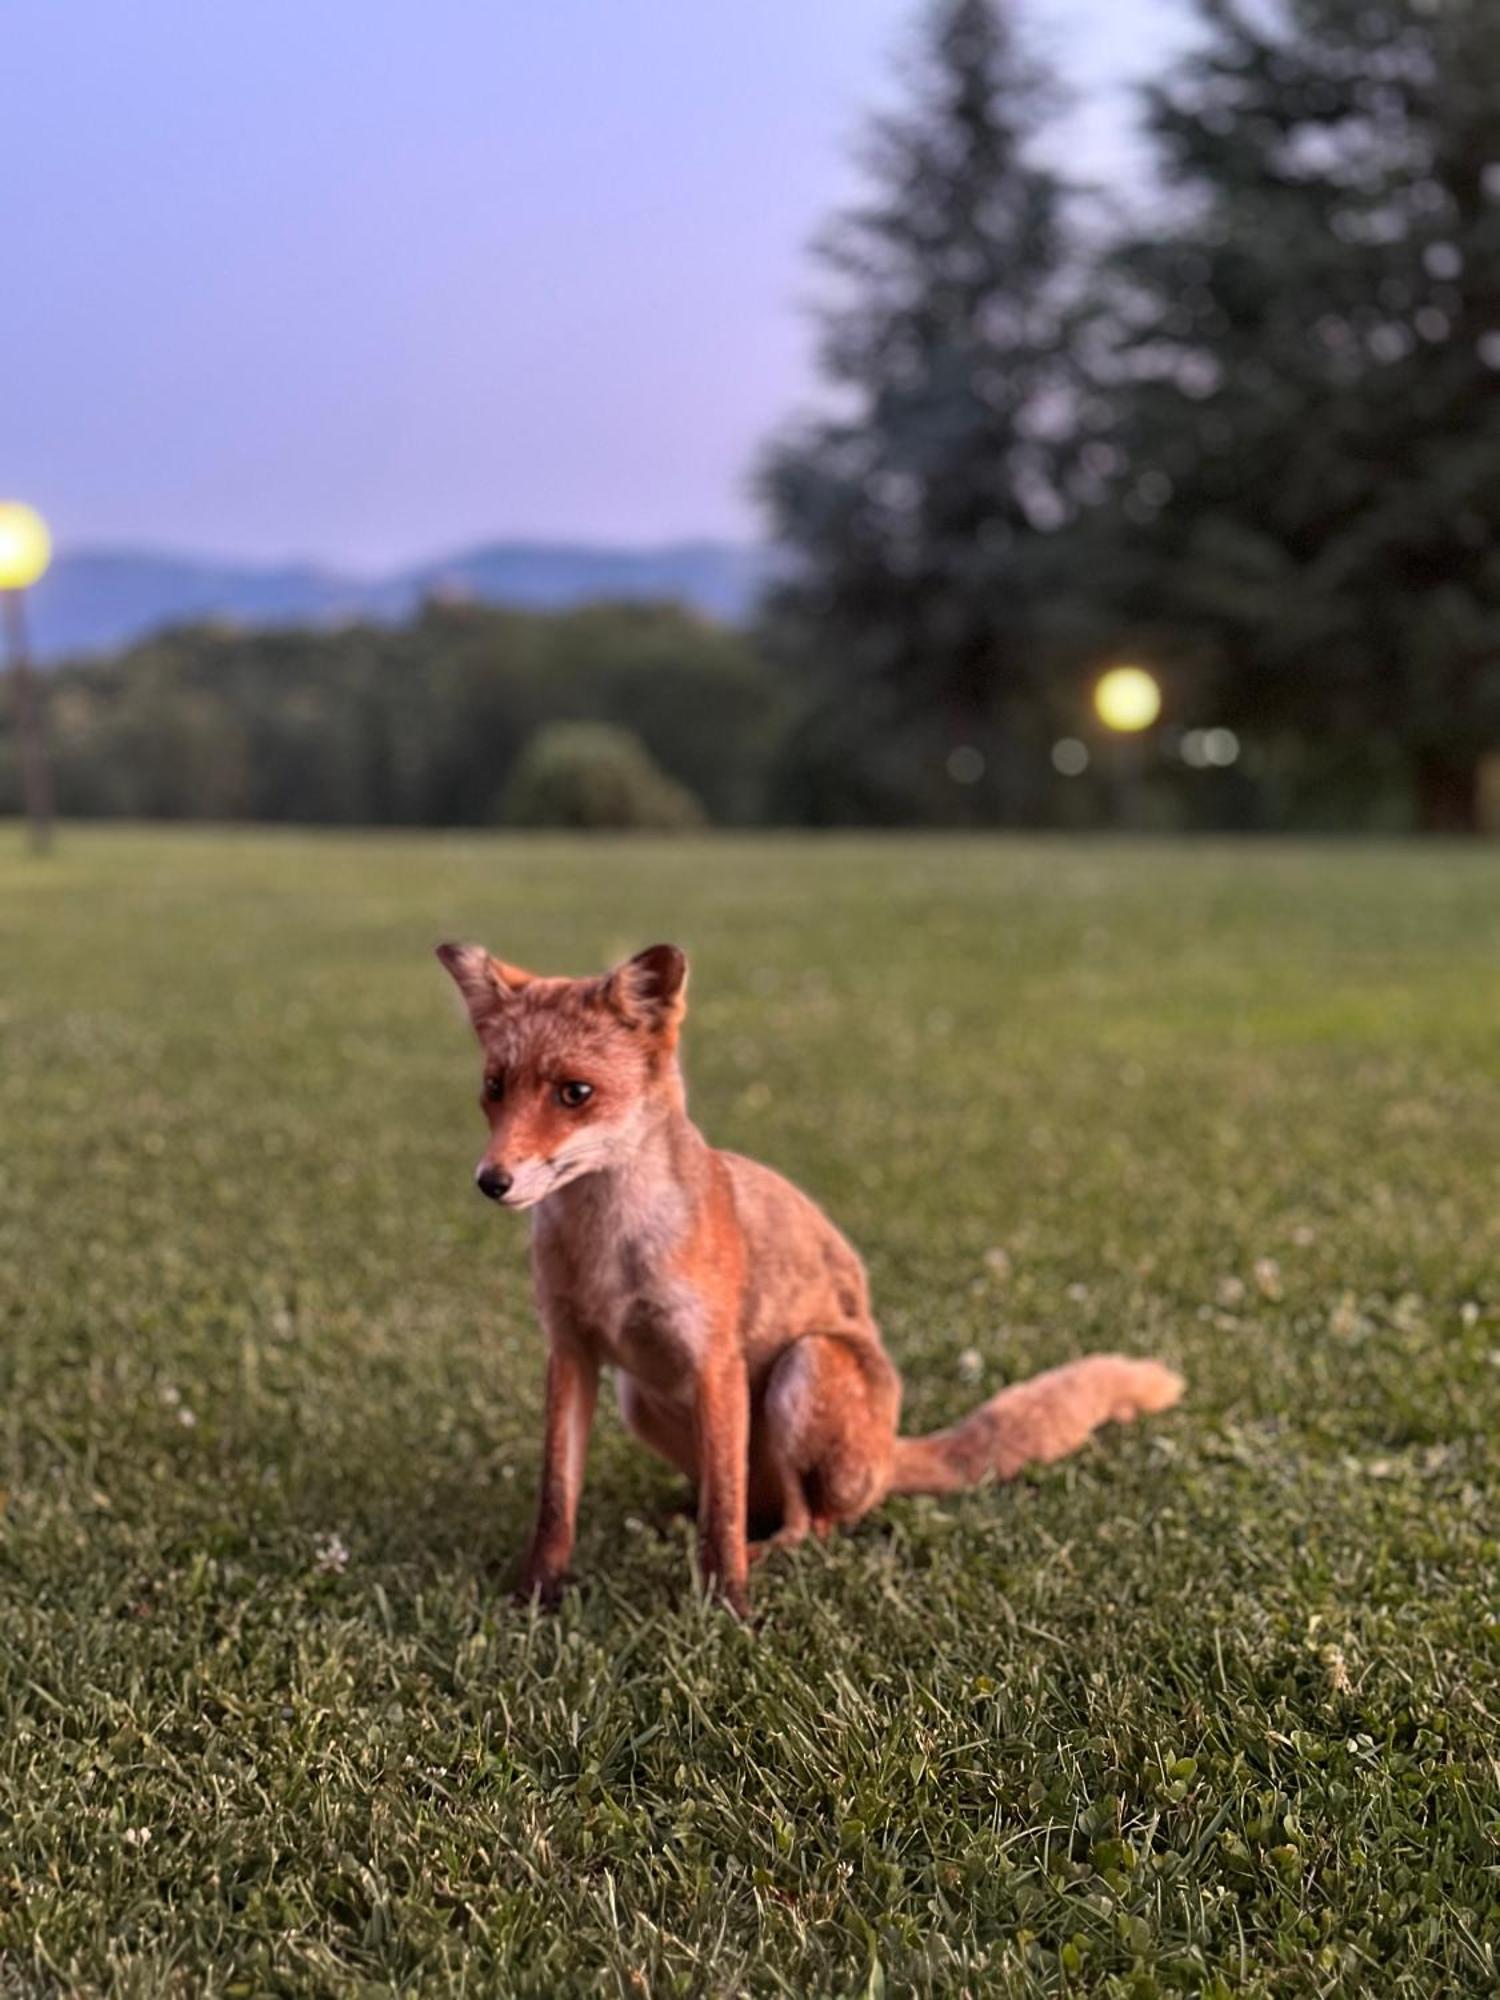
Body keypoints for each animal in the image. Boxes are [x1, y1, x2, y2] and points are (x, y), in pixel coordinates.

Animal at [434, 940, 1184, 1624]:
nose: (491, 1181)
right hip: (639, 1399)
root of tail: (886, 1455)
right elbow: (557, 1502)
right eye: (495, 1088)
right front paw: (535, 1598)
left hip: (804, 1369)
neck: (608, 1256)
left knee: (806, 1520)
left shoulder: (715, 1362)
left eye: (575, 1093)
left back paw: (766, 1550)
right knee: (748, 1500)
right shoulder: (572, 1353)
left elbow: (723, 1516)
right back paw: (676, 1519)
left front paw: (727, 1610)